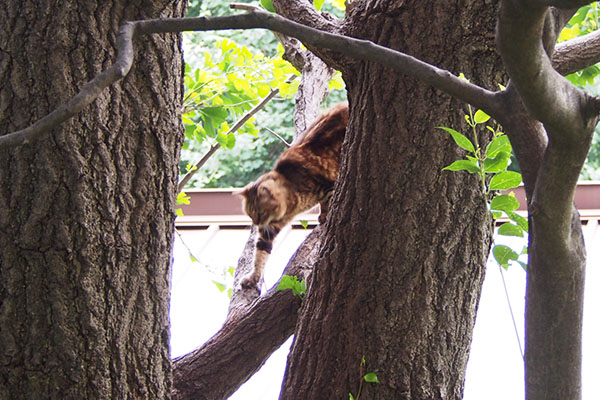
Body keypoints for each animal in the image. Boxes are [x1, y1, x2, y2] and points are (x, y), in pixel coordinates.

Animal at [237, 103, 346, 290]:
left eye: (260, 213)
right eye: (251, 215)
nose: (256, 223)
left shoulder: (329, 186)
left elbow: (328, 204)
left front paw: (324, 217)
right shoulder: (269, 229)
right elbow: (260, 254)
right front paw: (252, 278)